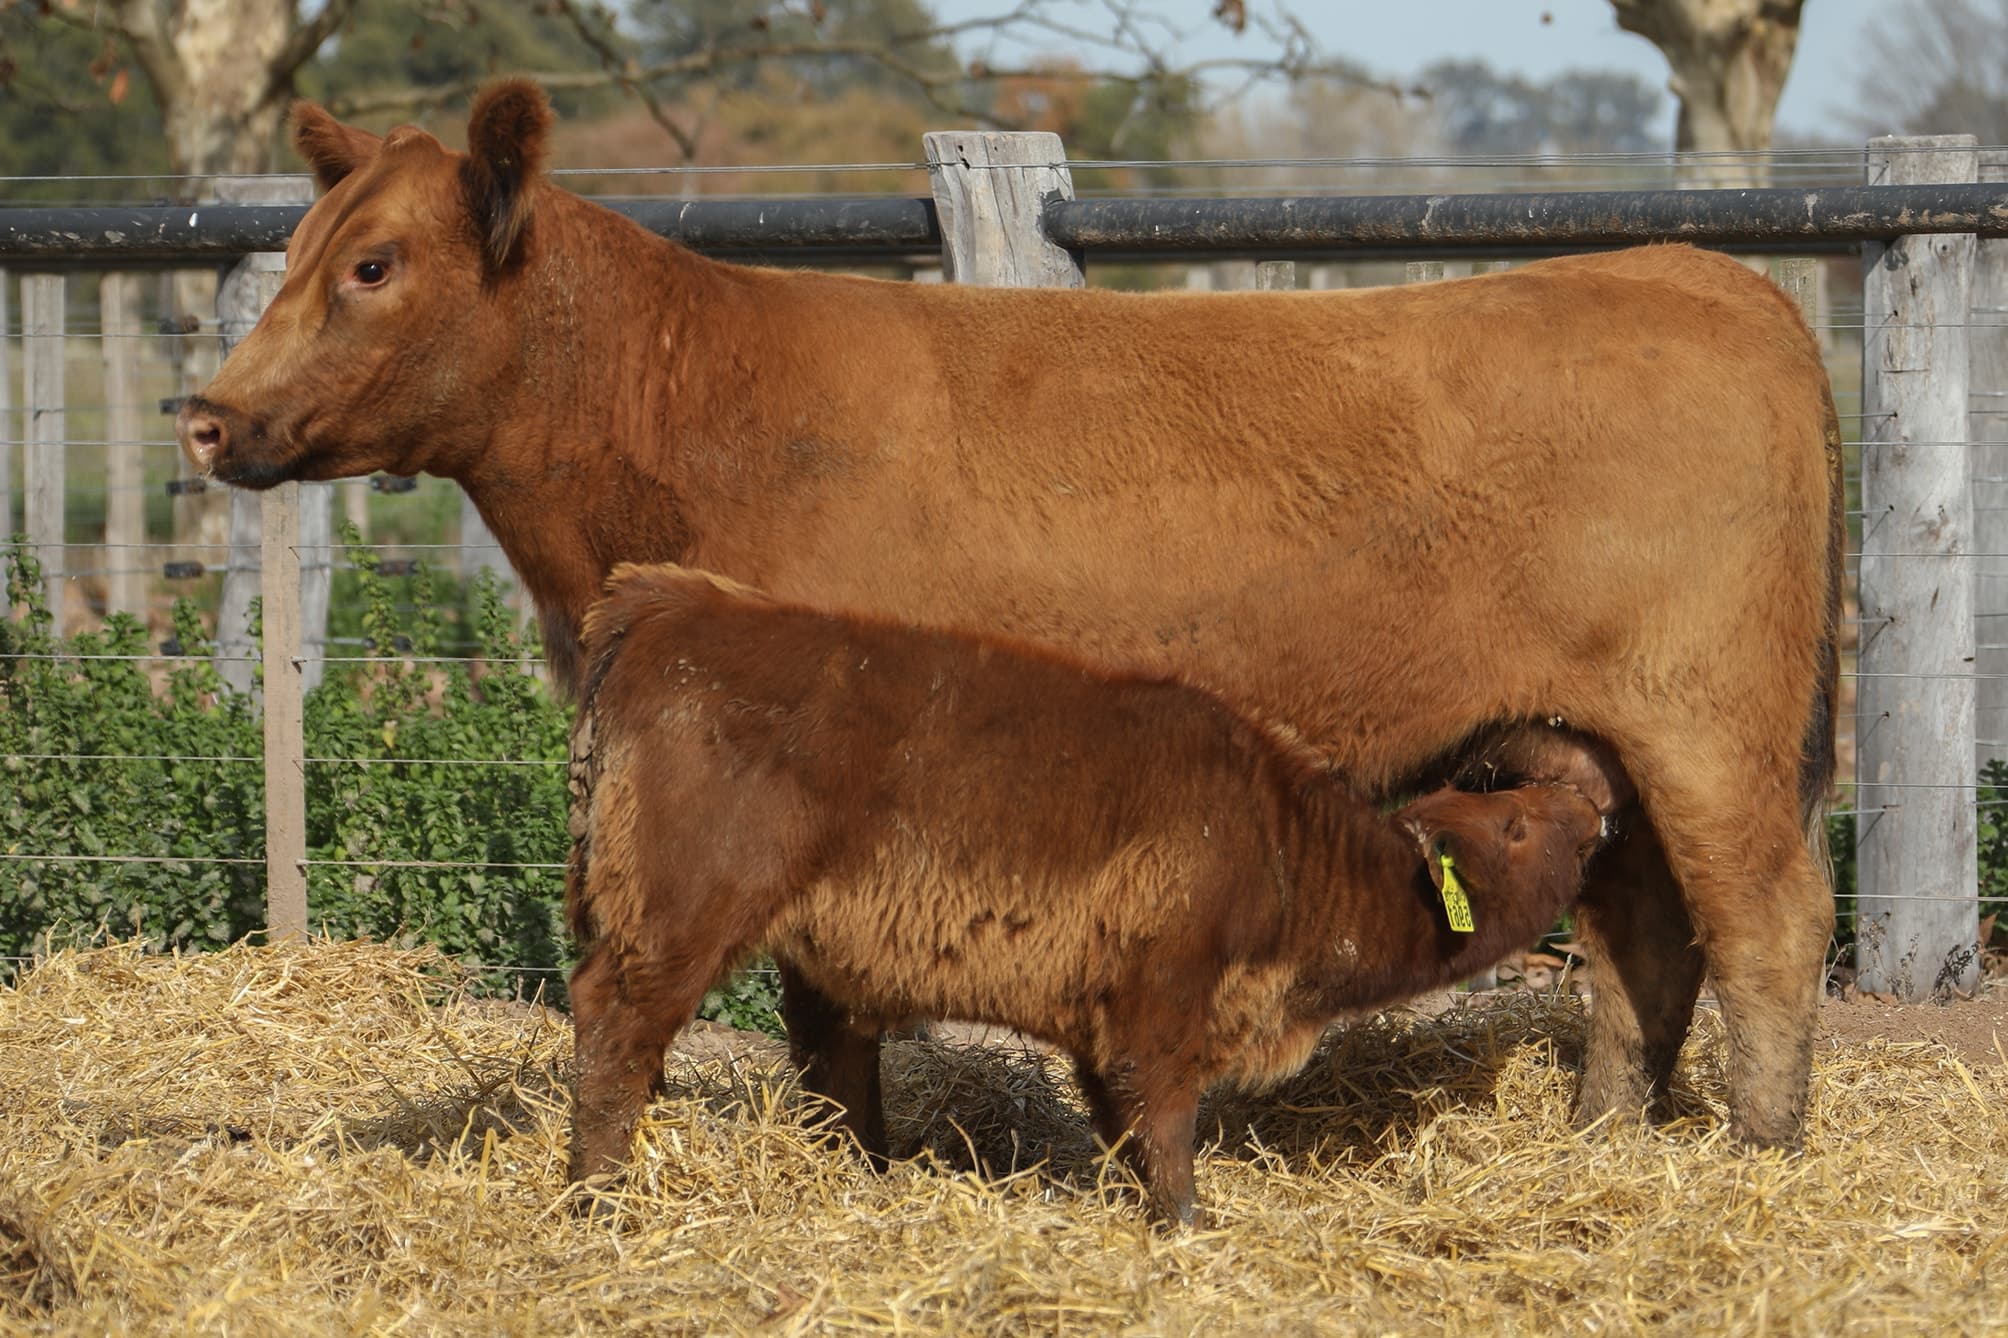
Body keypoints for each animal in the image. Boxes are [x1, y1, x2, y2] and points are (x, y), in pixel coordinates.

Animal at [175, 79, 1843, 1158]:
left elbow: (829, 1006)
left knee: (1769, 921)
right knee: (1643, 938)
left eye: (374, 263)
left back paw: (1758, 1158)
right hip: (1589, 734)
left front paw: (863, 1161)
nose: (205, 415)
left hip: (1713, 721)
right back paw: (1606, 1145)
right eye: (304, 251)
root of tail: (1705, 277)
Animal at [565, 563, 1610, 1224]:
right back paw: (597, 1199)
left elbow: (1124, 1130)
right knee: (617, 1027)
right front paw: (1189, 1228)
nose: (1594, 804)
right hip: (677, 922)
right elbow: (1167, 1129)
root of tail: (663, 602)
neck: (1277, 837)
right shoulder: (1161, 1004)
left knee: (829, 1055)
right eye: (1516, 826)